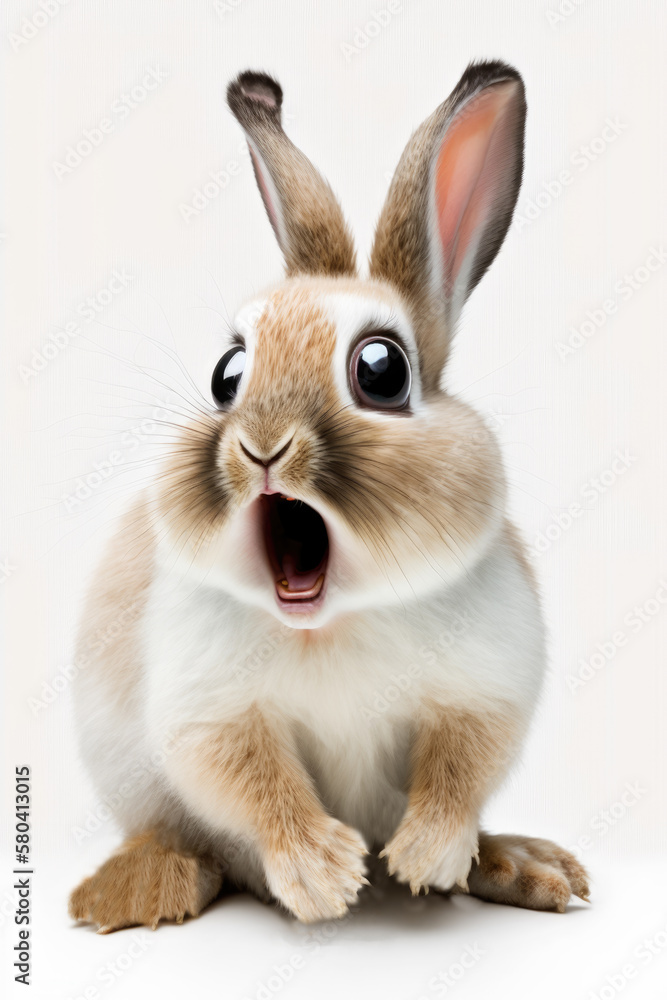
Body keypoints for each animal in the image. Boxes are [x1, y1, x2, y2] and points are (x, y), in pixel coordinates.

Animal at [68, 61, 589, 933]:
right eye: (228, 376)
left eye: (381, 370)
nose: (262, 445)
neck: (332, 620)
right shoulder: (209, 714)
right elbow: (255, 782)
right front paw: (325, 877)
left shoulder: (484, 692)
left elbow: (459, 769)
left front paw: (421, 859)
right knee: (178, 832)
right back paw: (140, 887)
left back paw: (522, 865)